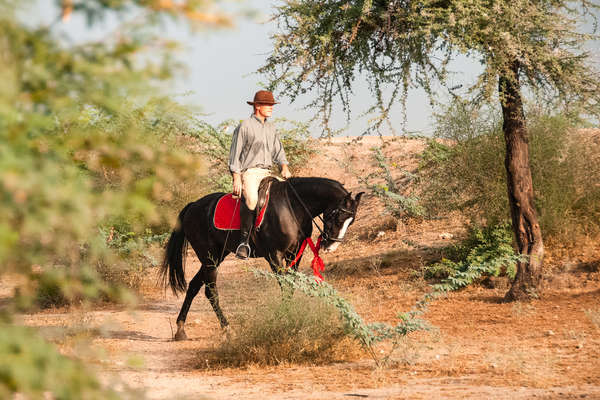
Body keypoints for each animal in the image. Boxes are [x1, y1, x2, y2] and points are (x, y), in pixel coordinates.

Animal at [159, 177, 364, 340]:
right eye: (338, 216)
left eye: (351, 221)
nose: (331, 245)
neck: (292, 207)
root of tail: (193, 205)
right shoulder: (274, 256)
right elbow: (285, 286)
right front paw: (284, 317)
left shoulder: (294, 256)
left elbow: (291, 287)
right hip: (210, 258)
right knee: (211, 292)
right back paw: (227, 329)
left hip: (216, 256)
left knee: (194, 286)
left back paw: (180, 329)